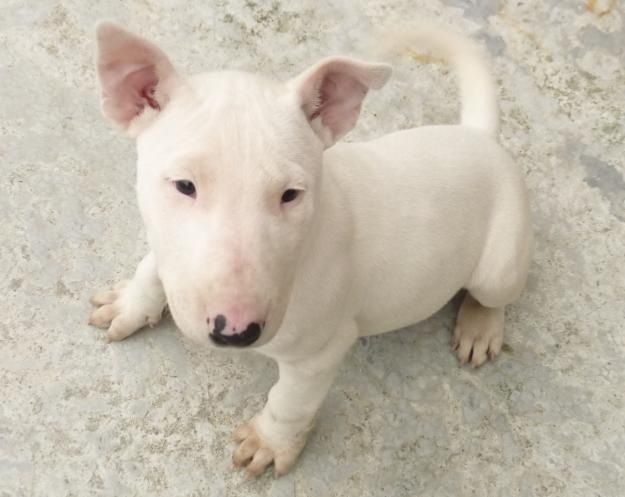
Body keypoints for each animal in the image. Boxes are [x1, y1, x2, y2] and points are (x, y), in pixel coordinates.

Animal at [89, 22, 532, 476]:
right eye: (184, 185)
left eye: (290, 195)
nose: (236, 332)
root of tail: (480, 137)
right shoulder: (167, 245)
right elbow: (152, 266)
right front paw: (130, 304)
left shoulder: (322, 348)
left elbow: (291, 401)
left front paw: (269, 442)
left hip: (500, 261)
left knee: (497, 293)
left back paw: (480, 326)